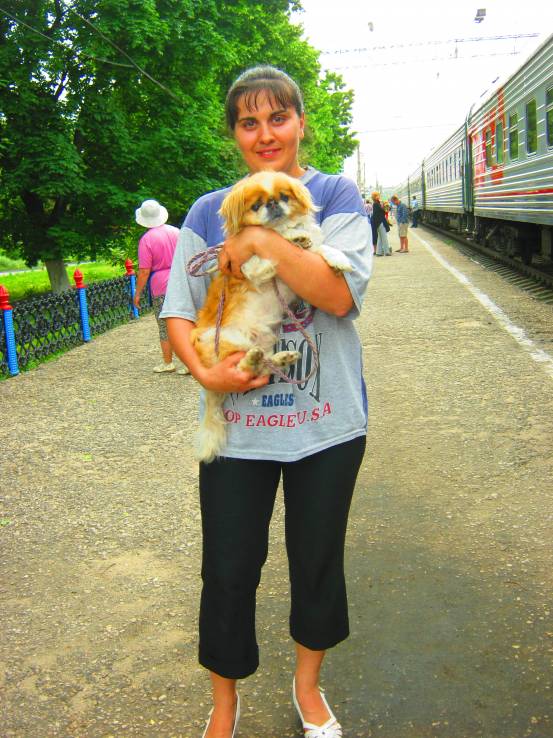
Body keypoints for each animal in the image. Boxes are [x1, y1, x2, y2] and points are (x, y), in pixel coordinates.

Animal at [190, 170, 353, 462]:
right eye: (256, 206)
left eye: (284, 197)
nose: (273, 204)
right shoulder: (246, 265)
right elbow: (266, 256)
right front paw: (292, 239)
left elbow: (319, 248)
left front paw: (336, 258)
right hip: (222, 342)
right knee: (244, 367)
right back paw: (254, 359)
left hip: (264, 339)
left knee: (264, 368)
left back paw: (282, 358)